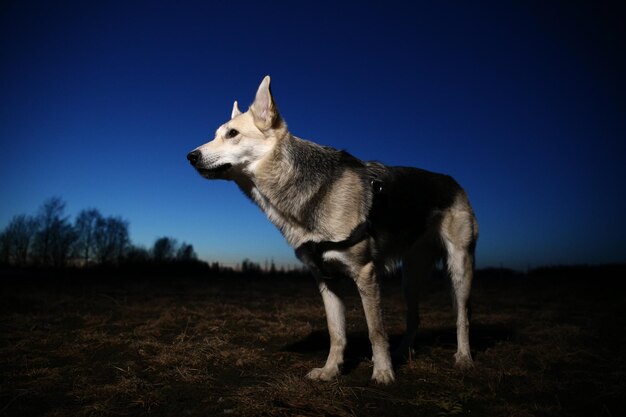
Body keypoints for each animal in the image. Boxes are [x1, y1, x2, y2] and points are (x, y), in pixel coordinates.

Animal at [186, 76, 478, 382]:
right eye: (216, 134)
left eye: (232, 133)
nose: (190, 156)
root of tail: (452, 181)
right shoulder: (325, 280)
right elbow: (336, 333)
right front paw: (330, 371)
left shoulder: (366, 274)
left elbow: (376, 331)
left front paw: (383, 372)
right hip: (409, 279)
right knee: (414, 318)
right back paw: (401, 354)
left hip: (460, 270)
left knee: (463, 317)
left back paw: (463, 358)